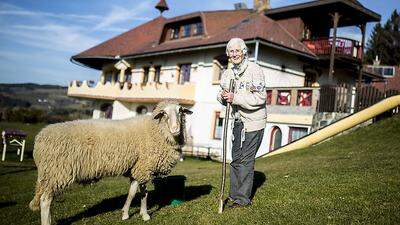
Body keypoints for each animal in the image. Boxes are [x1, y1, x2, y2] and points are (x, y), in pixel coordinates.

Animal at [28, 100, 192, 225]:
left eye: (180, 111)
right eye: (164, 113)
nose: (176, 129)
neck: (156, 130)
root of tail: (40, 139)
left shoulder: (136, 167)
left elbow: (132, 192)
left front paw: (125, 213)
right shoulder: (144, 167)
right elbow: (143, 193)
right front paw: (145, 215)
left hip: (50, 174)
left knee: (46, 199)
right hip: (57, 172)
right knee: (45, 201)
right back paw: (46, 222)